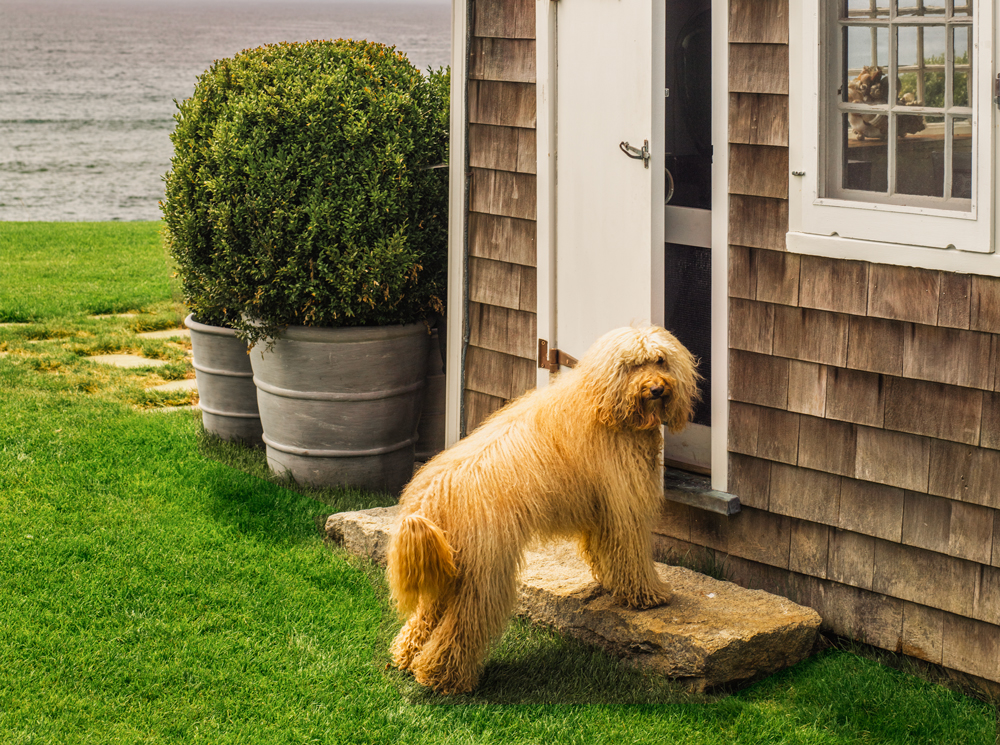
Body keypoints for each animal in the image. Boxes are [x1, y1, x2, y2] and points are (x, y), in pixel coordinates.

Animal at [386, 324, 700, 692]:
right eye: (633, 365)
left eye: (660, 360)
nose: (656, 388)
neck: (604, 404)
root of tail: (430, 498)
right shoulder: (625, 505)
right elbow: (632, 555)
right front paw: (647, 595)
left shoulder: (604, 510)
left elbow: (608, 552)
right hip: (483, 572)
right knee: (461, 625)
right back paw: (444, 677)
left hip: (447, 566)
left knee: (427, 616)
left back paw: (407, 656)